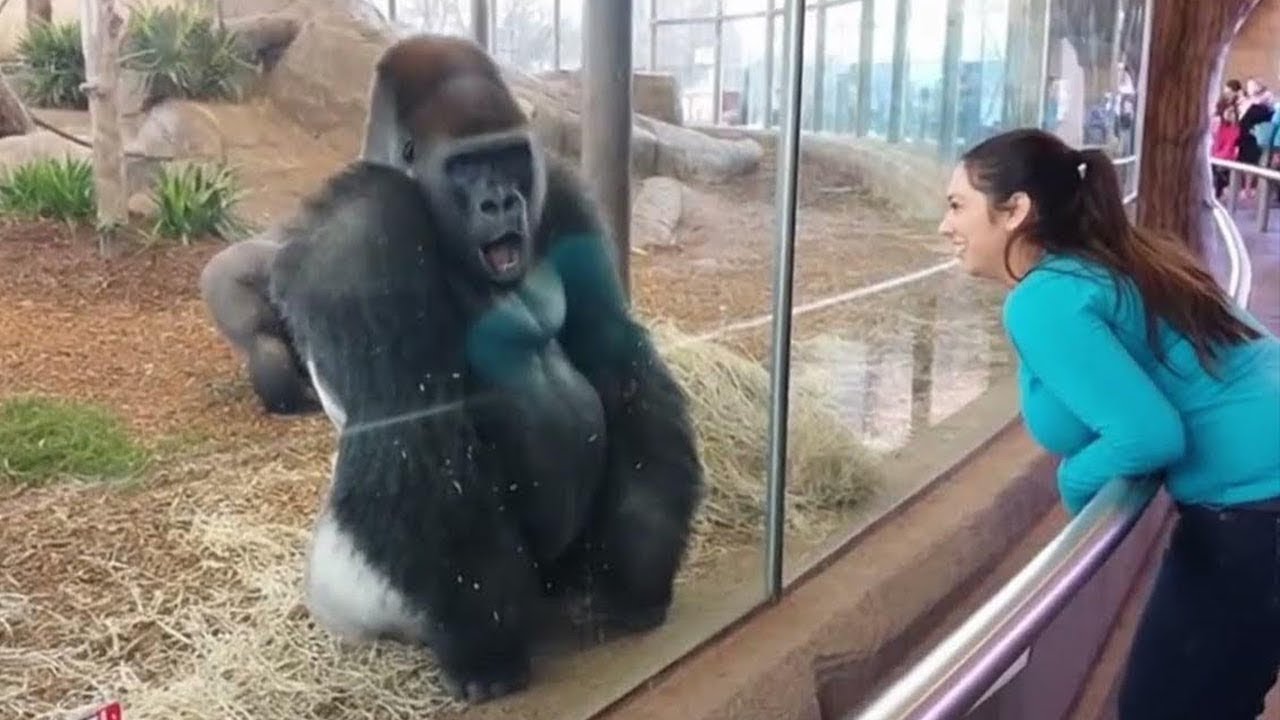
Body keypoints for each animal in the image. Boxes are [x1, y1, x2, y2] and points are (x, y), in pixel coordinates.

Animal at [268, 34, 704, 703]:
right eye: (465, 165)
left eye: (507, 156)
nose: (500, 199)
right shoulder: (359, 231)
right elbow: (411, 425)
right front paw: (486, 649)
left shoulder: (561, 191)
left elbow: (612, 356)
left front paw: (641, 560)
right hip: (351, 592)